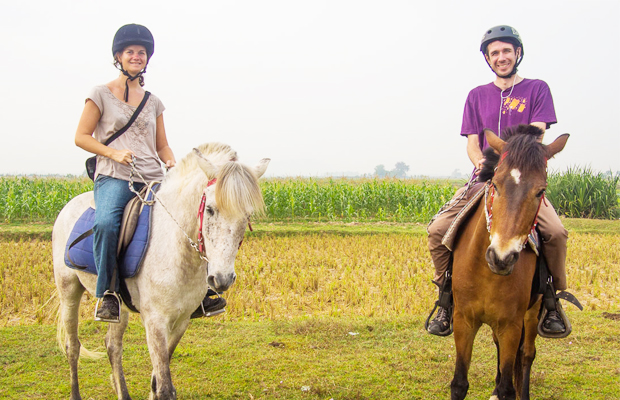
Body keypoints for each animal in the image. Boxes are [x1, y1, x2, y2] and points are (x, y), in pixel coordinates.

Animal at [51, 144, 268, 400]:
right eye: (210, 210)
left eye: (247, 215)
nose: (222, 279)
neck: (178, 249)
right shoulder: (155, 322)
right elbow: (164, 387)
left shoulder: (182, 320)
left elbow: (157, 379)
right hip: (68, 291)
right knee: (72, 347)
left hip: (119, 306)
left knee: (113, 346)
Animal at [448, 126, 568, 400]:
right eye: (495, 183)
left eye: (540, 191)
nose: (501, 257)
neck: (486, 271)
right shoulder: (464, 320)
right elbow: (459, 383)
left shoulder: (510, 325)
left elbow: (508, 387)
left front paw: (505, 389)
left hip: (532, 314)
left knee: (526, 355)